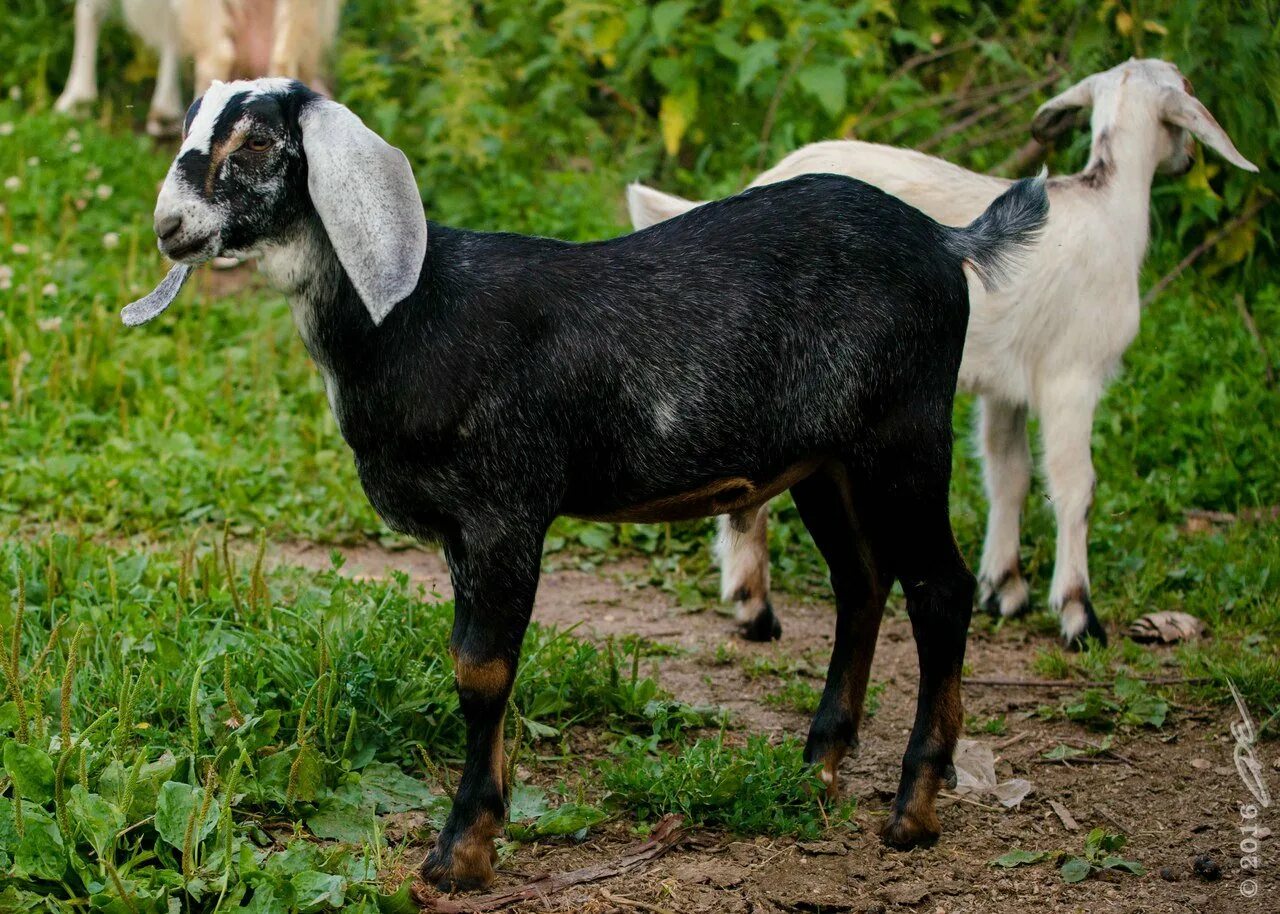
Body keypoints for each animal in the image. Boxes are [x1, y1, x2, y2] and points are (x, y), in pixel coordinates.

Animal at [129, 80, 1049, 890]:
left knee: (939, 588)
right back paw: (817, 766)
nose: (170, 227)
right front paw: (488, 821)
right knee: (862, 581)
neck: (420, 314)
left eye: (257, 140)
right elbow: (472, 660)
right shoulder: (464, 534)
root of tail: (947, 242)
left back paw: (913, 811)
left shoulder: (504, 508)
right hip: (826, 459)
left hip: (904, 433)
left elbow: (481, 670)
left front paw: (461, 853)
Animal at [629, 56, 1259, 645]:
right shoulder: (1070, 374)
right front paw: (1079, 615)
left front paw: (1005, 589)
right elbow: (1075, 486)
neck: (1105, 207)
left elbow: (1009, 472)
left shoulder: (1008, 386)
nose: (1188, 161)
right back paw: (754, 605)